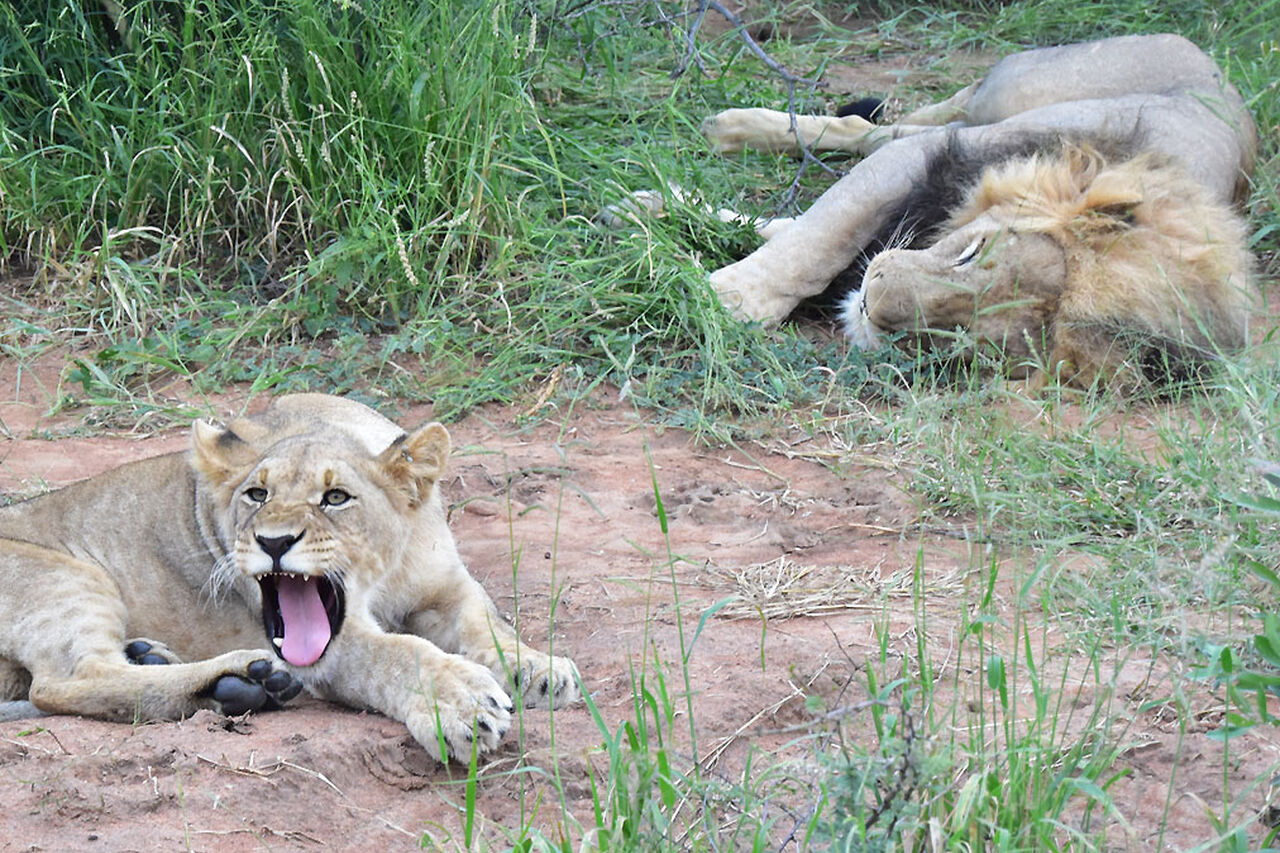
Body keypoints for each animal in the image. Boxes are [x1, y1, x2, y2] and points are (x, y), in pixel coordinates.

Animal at [0, 394, 580, 762]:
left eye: (336, 497)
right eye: (257, 495)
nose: (274, 542)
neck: (383, 573)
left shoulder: (446, 586)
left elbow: (488, 623)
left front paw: (539, 670)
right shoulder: (331, 648)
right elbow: (400, 653)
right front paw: (460, 704)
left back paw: (181, 667)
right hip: (68, 578)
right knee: (71, 681)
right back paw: (245, 675)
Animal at [694, 34, 1258, 388]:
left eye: (964, 333)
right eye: (971, 252)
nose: (872, 302)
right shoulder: (934, 160)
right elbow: (815, 242)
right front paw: (723, 298)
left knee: (878, 131)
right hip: (1014, 90)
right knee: (889, 128)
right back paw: (729, 129)